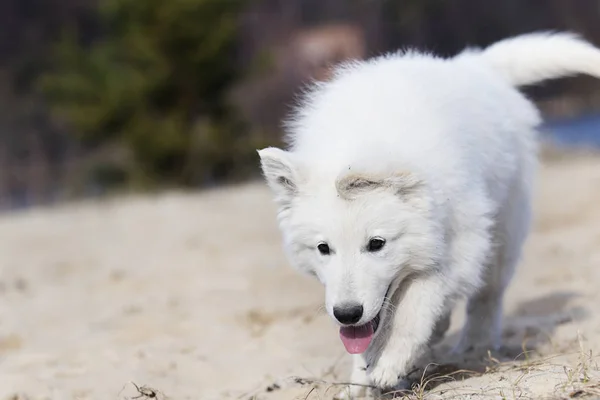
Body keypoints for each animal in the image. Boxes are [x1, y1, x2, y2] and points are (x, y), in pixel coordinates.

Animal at [258, 32, 600, 396]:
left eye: (377, 244)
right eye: (323, 249)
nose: (347, 314)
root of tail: (474, 66)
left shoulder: (464, 243)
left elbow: (419, 300)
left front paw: (390, 361)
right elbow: (372, 331)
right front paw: (362, 380)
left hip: (505, 227)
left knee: (487, 295)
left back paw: (474, 345)